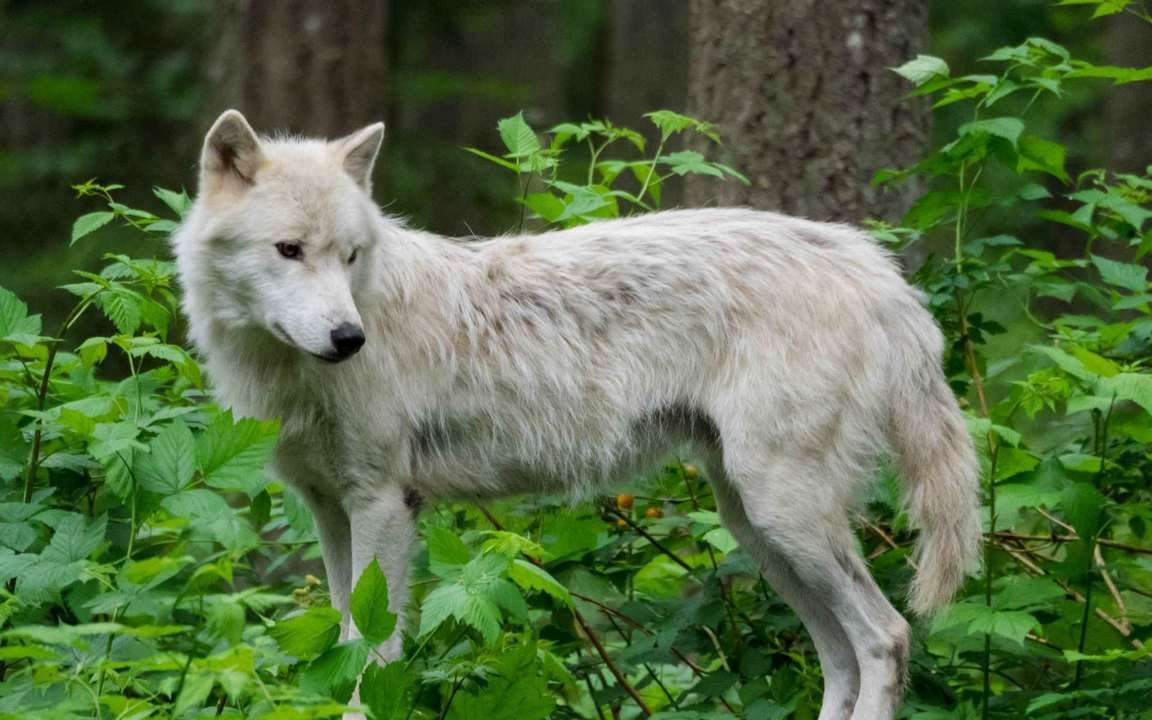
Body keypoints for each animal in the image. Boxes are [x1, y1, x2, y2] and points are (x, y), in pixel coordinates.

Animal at [172, 109, 981, 714]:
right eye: (289, 250)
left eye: (348, 256)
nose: (349, 338)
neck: (289, 374)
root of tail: (872, 268)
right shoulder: (329, 509)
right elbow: (345, 644)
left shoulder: (382, 505)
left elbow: (375, 659)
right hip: (758, 528)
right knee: (839, 657)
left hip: (787, 518)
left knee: (885, 638)